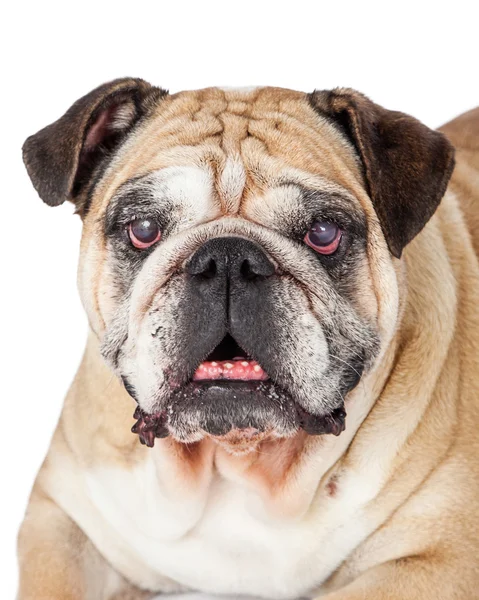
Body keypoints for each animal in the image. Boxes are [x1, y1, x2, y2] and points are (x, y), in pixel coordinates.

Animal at [16, 81, 478, 600]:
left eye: (323, 233)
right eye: (143, 230)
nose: (227, 257)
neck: (239, 461)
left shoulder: (442, 557)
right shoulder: (62, 517)